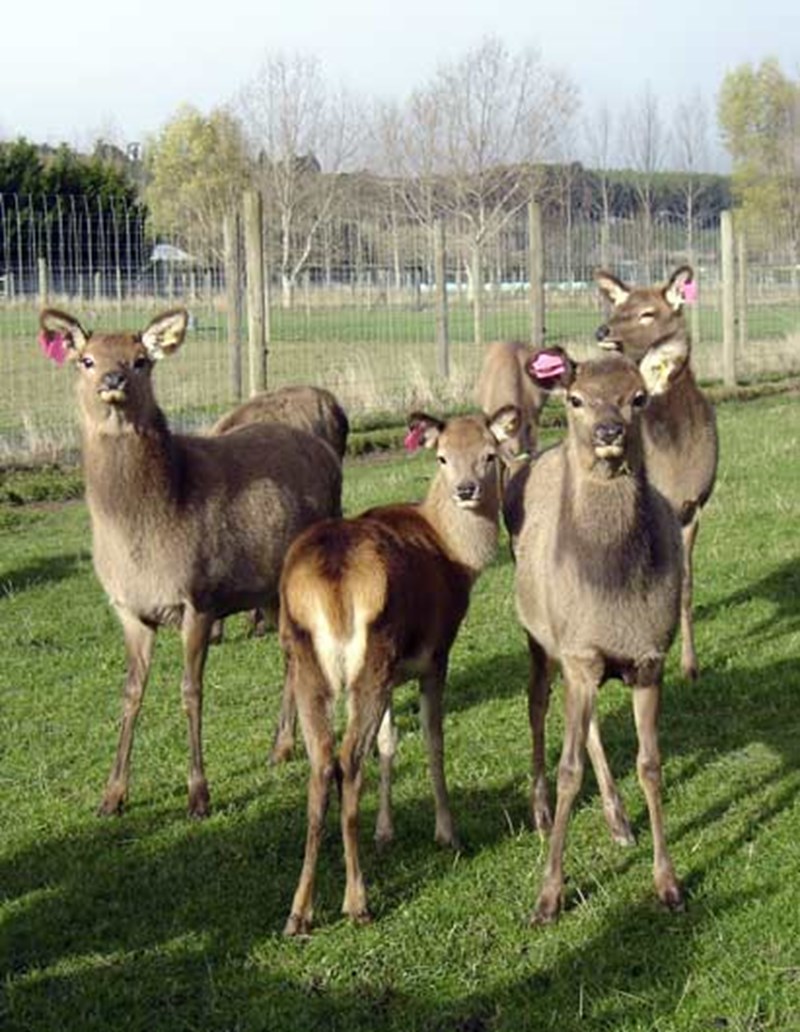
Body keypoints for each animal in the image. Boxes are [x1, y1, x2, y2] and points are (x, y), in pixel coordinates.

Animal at [279, 406, 520, 936]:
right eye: (442, 455)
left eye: (489, 454)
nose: (467, 489)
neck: (455, 555)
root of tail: (329, 576)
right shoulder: (435, 654)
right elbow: (432, 738)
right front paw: (447, 831)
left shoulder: (395, 673)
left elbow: (389, 743)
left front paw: (385, 830)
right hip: (370, 658)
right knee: (347, 759)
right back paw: (356, 900)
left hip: (307, 663)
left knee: (321, 762)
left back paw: (299, 911)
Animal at [505, 346, 685, 925]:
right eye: (577, 399)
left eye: (639, 397)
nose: (609, 431)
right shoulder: (579, 652)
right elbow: (569, 771)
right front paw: (548, 896)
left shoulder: (649, 659)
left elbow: (650, 765)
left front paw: (667, 882)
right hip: (540, 634)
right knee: (536, 700)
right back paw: (540, 809)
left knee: (587, 726)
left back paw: (618, 820)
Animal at [595, 266, 718, 680]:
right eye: (617, 307)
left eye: (648, 313)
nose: (602, 331)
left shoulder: (694, 506)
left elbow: (685, 586)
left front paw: (691, 666)